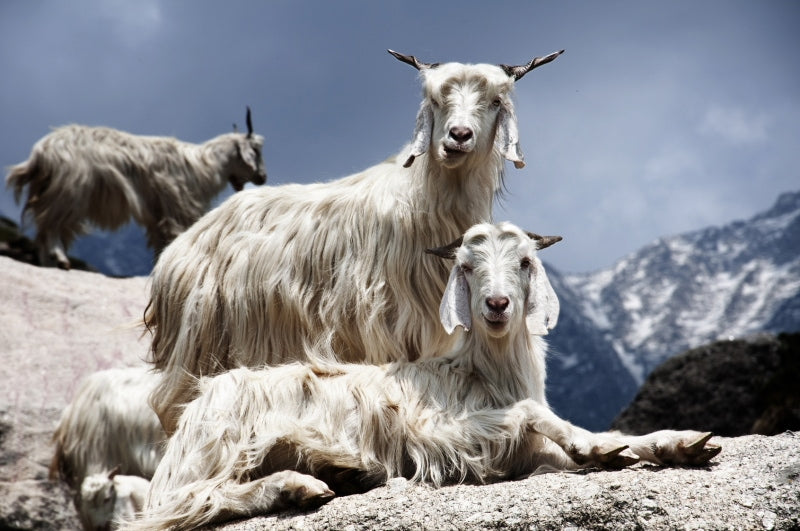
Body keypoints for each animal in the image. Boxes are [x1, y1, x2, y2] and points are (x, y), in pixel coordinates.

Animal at [4, 107, 268, 268]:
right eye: (255, 150)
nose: (263, 177)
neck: (203, 164)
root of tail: (41, 152)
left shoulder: (157, 215)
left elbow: (161, 243)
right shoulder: (178, 206)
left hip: (52, 190)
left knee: (44, 229)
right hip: (69, 191)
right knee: (51, 224)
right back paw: (60, 259)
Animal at [147, 47, 564, 434]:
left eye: (495, 101)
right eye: (433, 100)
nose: (458, 138)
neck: (420, 204)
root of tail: (175, 253)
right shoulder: (383, 332)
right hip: (198, 346)